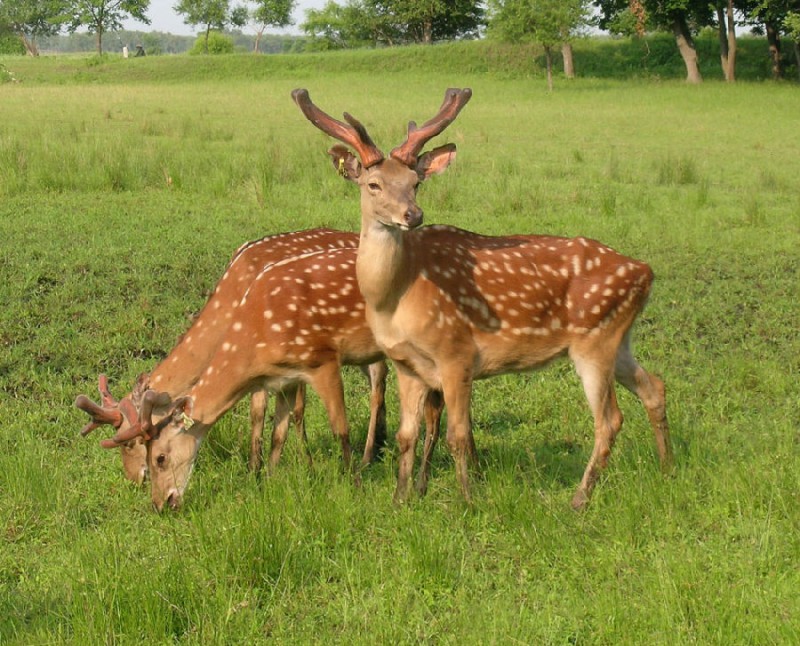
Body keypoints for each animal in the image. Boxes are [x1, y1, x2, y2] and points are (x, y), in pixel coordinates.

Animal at [79, 244, 444, 511]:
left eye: (156, 455)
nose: (156, 500)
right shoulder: (279, 377)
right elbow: (272, 424)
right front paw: (262, 477)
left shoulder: (319, 362)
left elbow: (325, 423)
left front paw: (344, 481)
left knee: (391, 393)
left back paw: (381, 462)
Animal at [292, 88, 673, 507]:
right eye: (372, 184)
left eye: (415, 182)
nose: (413, 215)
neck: (395, 297)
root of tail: (645, 271)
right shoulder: (407, 364)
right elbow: (407, 436)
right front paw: (400, 499)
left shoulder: (456, 352)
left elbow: (458, 435)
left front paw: (467, 500)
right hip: (619, 339)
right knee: (654, 387)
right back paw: (667, 469)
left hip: (595, 340)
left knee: (609, 420)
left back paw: (578, 500)